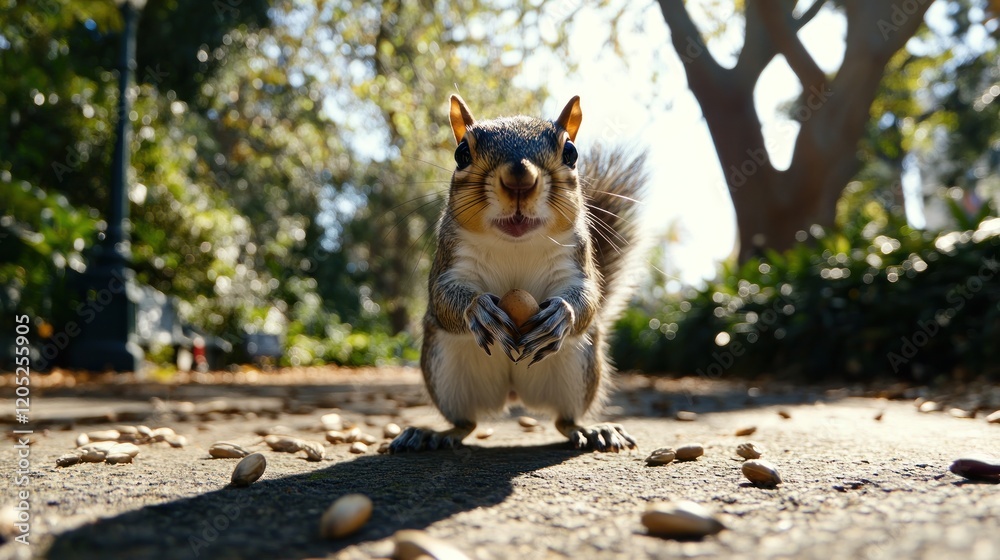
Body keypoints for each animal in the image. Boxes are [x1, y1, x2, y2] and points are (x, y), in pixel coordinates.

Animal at [389, 94, 647, 453]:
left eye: (571, 153)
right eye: (461, 153)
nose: (519, 180)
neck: (515, 243)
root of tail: (513, 393)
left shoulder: (576, 260)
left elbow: (588, 298)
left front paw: (562, 315)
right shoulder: (449, 261)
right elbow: (442, 299)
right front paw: (478, 309)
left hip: (579, 367)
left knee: (564, 420)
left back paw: (593, 430)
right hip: (444, 369)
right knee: (465, 423)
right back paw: (432, 434)